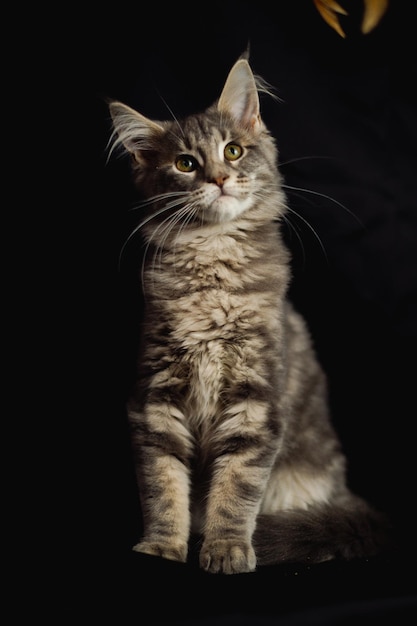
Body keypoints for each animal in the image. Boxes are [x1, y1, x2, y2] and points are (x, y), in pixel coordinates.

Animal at [106, 53, 390, 576]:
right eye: (186, 164)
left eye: (233, 151)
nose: (218, 179)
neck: (213, 265)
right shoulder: (155, 398)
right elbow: (163, 485)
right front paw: (162, 546)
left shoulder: (255, 400)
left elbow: (236, 488)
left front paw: (226, 549)